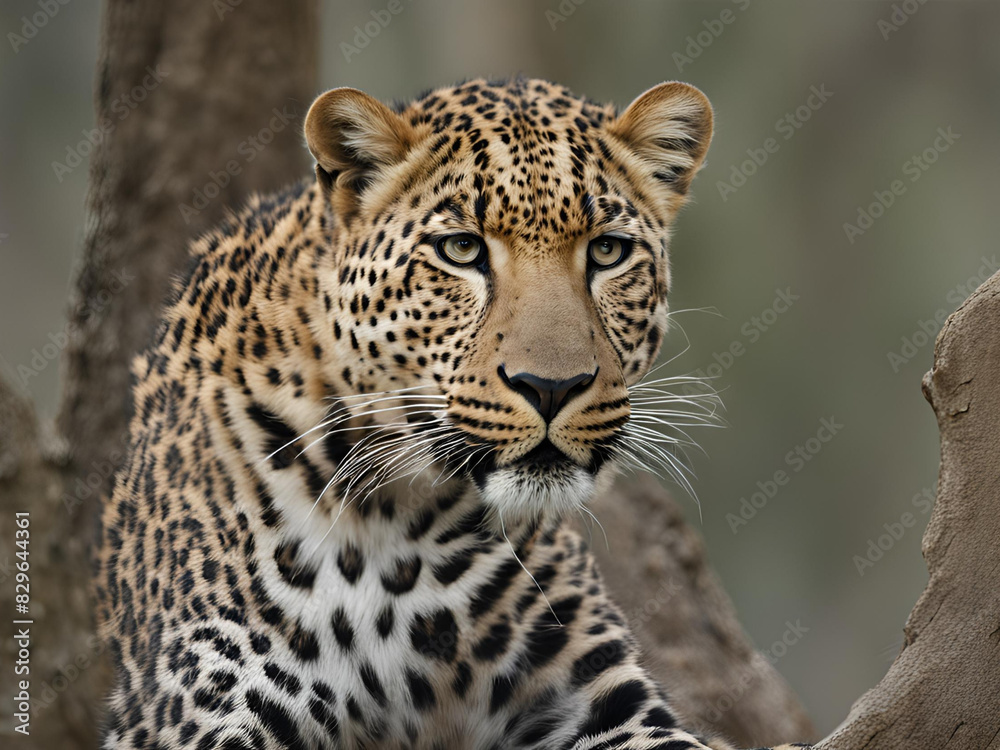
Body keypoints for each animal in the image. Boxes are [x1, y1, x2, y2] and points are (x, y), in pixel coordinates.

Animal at [94, 76, 812, 750]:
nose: (551, 387)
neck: (393, 526)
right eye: (462, 250)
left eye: (607, 252)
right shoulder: (197, 709)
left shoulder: (603, 701)